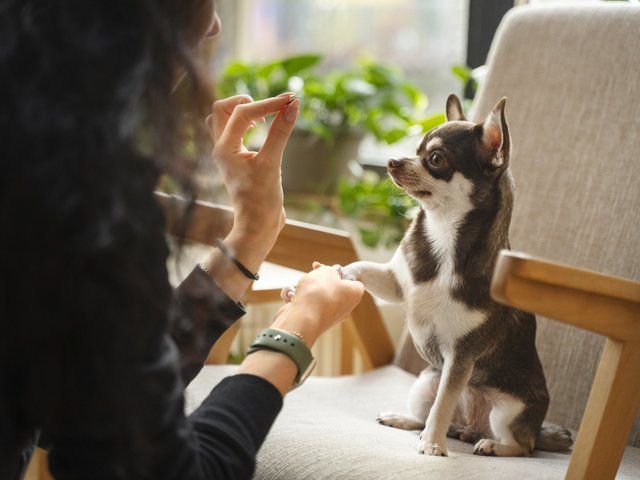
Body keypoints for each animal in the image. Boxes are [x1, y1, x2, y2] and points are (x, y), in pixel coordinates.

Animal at [342, 94, 572, 458]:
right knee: (427, 414)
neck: (444, 236)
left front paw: (433, 446)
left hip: (507, 411)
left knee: (523, 446)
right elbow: (367, 269)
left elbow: (444, 403)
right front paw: (343, 272)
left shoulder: (460, 357)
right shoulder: (396, 284)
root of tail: (470, 426)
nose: (392, 161)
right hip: (425, 382)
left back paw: (491, 445)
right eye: (416, 149)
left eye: (435, 159)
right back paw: (404, 420)